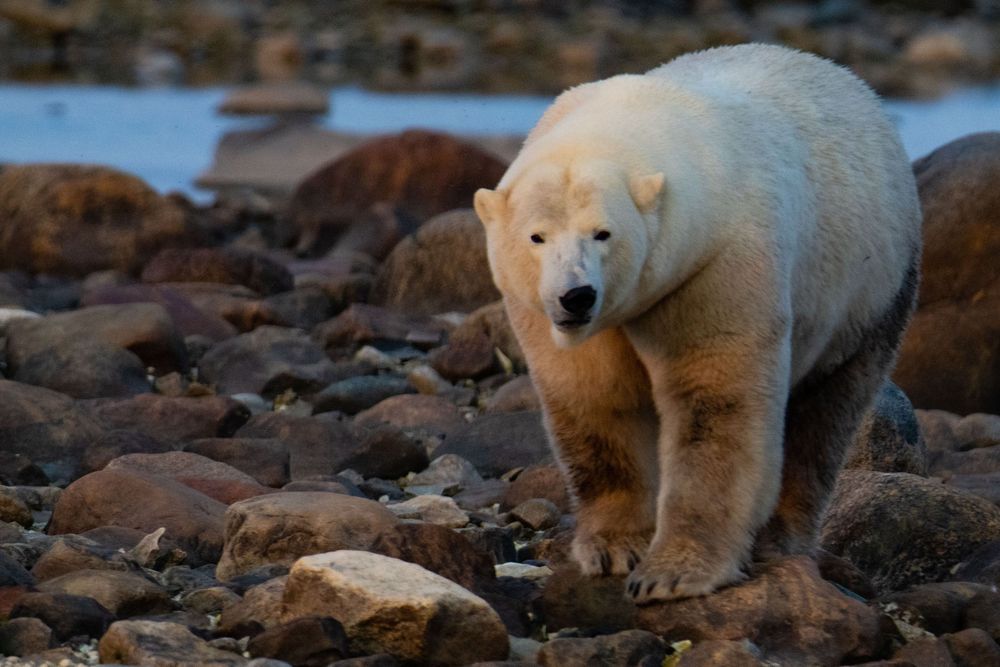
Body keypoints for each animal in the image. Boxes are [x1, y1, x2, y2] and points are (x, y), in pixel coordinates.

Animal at [474, 43, 921, 603]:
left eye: (603, 233)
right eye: (536, 236)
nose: (576, 296)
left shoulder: (715, 265)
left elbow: (714, 402)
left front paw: (673, 572)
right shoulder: (549, 316)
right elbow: (597, 399)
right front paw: (613, 549)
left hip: (869, 291)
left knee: (825, 415)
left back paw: (779, 537)